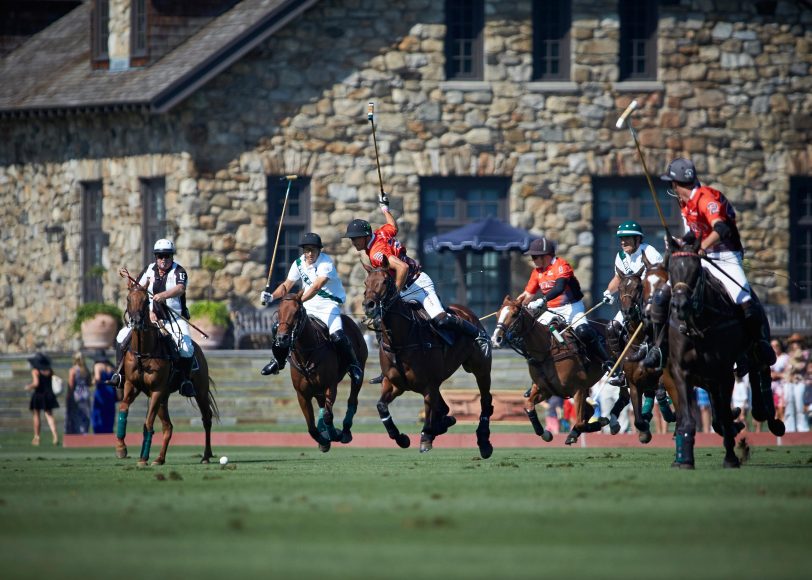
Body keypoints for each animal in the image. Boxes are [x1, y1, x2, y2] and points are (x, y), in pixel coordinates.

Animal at [116, 278, 219, 464]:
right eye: (128, 298)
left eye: (146, 300)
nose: (136, 321)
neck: (144, 352)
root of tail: (199, 350)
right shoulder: (131, 385)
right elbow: (123, 408)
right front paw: (121, 448)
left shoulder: (156, 390)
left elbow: (148, 422)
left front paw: (142, 458)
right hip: (164, 398)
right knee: (168, 427)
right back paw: (159, 458)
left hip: (199, 391)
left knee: (206, 419)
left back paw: (206, 456)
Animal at [274, 292, 370, 450]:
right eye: (278, 312)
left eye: (297, 312)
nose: (281, 339)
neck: (306, 354)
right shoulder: (302, 394)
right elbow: (311, 428)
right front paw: (324, 441)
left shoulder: (330, 386)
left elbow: (328, 416)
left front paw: (335, 435)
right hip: (316, 389)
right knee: (321, 405)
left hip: (359, 369)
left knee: (352, 399)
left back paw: (345, 431)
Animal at [364, 264, 494, 458]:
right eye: (366, 282)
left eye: (385, 281)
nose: (369, 306)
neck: (401, 341)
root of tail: (468, 313)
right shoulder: (394, 383)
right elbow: (381, 406)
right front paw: (402, 438)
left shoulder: (429, 385)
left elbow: (428, 409)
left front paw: (425, 438)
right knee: (446, 407)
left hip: (481, 368)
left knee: (485, 400)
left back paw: (484, 442)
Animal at [488, 296, 608, 446]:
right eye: (497, 314)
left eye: (515, 314)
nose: (495, 340)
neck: (547, 352)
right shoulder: (545, 390)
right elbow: (529, 406)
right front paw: (546, 434)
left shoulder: (578, 389)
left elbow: (580, 422)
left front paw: (603, 421)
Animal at [664, 242, 784, 468]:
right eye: (671, 269)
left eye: (696, 271)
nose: (679, 306)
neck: (699, 326)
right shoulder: (680, 373)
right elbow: (689, 417)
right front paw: (684, 459)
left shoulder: (724, 372)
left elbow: (725, 417)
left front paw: (731, 457)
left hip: (756, 346)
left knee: (761, 369)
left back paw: (771, 419)